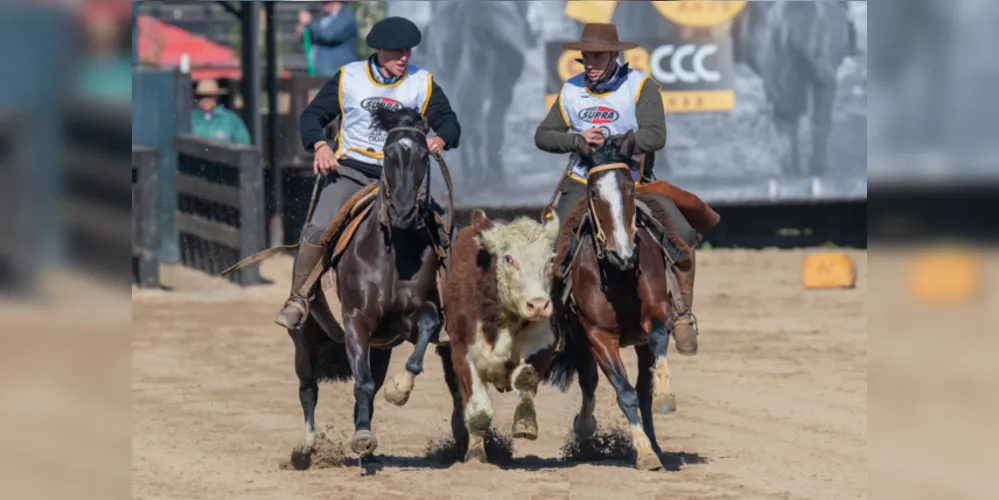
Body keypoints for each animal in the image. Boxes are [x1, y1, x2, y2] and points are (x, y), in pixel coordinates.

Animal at [290, 104, 446, 460]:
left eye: (424, 156)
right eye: (387, 153)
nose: (402, 211)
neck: (391, 254)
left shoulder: (410, 319)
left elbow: (426, 328)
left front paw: (399, 390)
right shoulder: (356, 321)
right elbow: (361, 381)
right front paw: (362, 436)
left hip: (381, 350)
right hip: (305, 338)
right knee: (308, 388)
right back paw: (306, 446)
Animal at [544, 135, 684, 470]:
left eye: (630, 189)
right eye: (594, 192)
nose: (624, 254)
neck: (618, 274)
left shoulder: (656, 314)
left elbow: (656, 345)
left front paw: (665, 398)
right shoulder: (598, 336)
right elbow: (623, 391)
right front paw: (643, 453)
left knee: (642, 389)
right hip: (579, 338)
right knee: (590, 381)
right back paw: (586, 427)